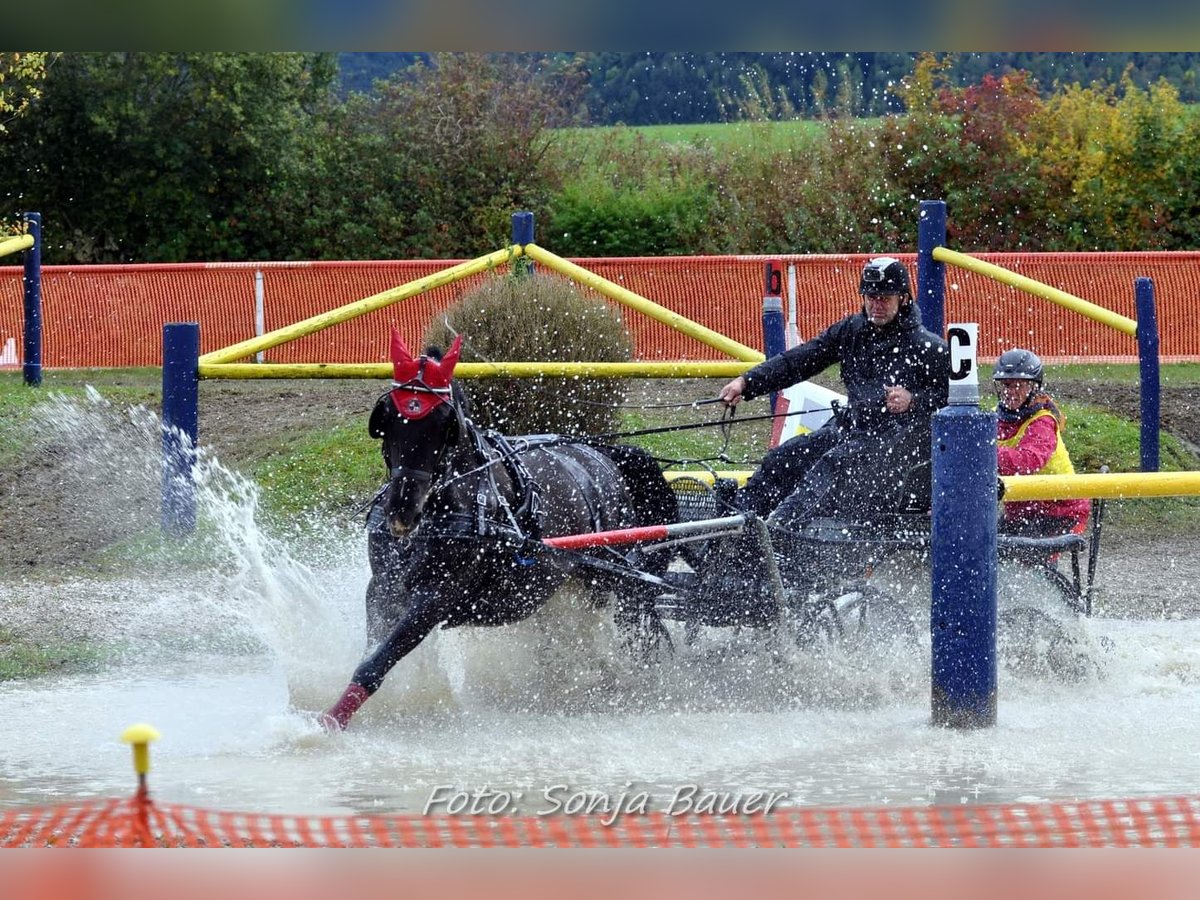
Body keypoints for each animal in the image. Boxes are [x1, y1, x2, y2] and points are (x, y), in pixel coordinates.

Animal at [319, 331, 676, 734]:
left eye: (443, 424)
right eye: (391, 419)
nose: (402, 513)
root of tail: (601, 456)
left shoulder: (437, 597)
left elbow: (378, 661)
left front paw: (330, 720)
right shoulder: (383, 587)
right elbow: (375, 648)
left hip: (614, 577)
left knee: (632, 625)